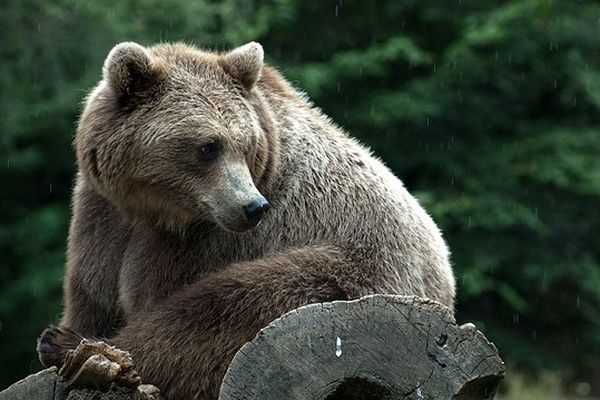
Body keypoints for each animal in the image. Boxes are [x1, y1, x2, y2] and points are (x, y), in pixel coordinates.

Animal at [37, 41, 454, 400]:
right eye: (208, 146)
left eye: (246, 144)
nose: (254, 206)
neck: (153, 208)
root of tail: (443, 283)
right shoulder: (101, 211)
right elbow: (94, 290)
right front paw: (82, 332)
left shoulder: (206, 242)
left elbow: (172, 309)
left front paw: (86, 344)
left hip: (359, 277)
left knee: (234, 305)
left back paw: (63, 344)